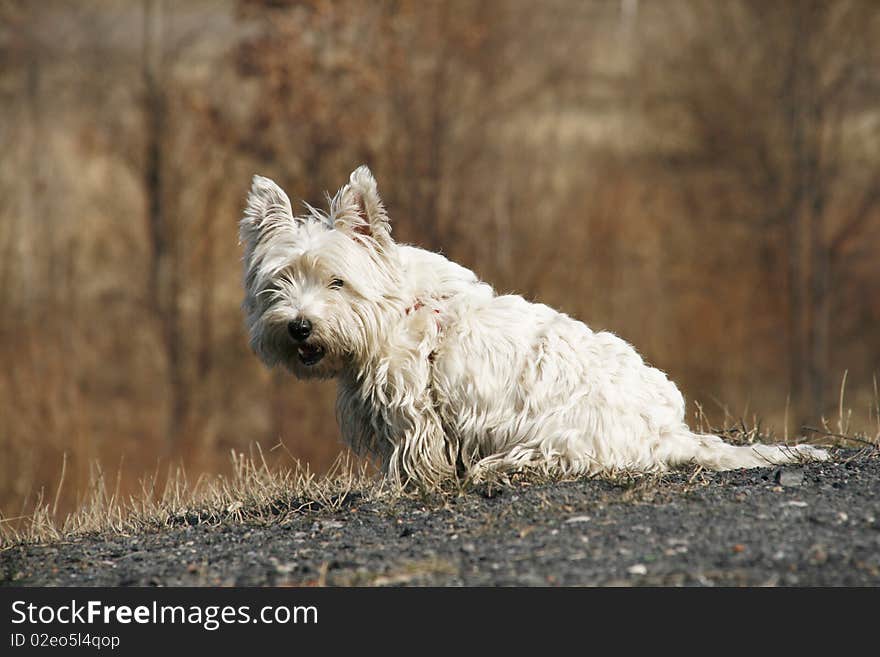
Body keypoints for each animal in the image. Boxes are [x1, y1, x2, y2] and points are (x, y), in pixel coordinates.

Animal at [239, 167, 824, 486]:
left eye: (336, 282)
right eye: (280, 282)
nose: (299, 327)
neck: (398, 306)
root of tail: (668, 434)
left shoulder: (410, 404)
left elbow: (414, 455)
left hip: (560, 438)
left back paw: (497, 470)